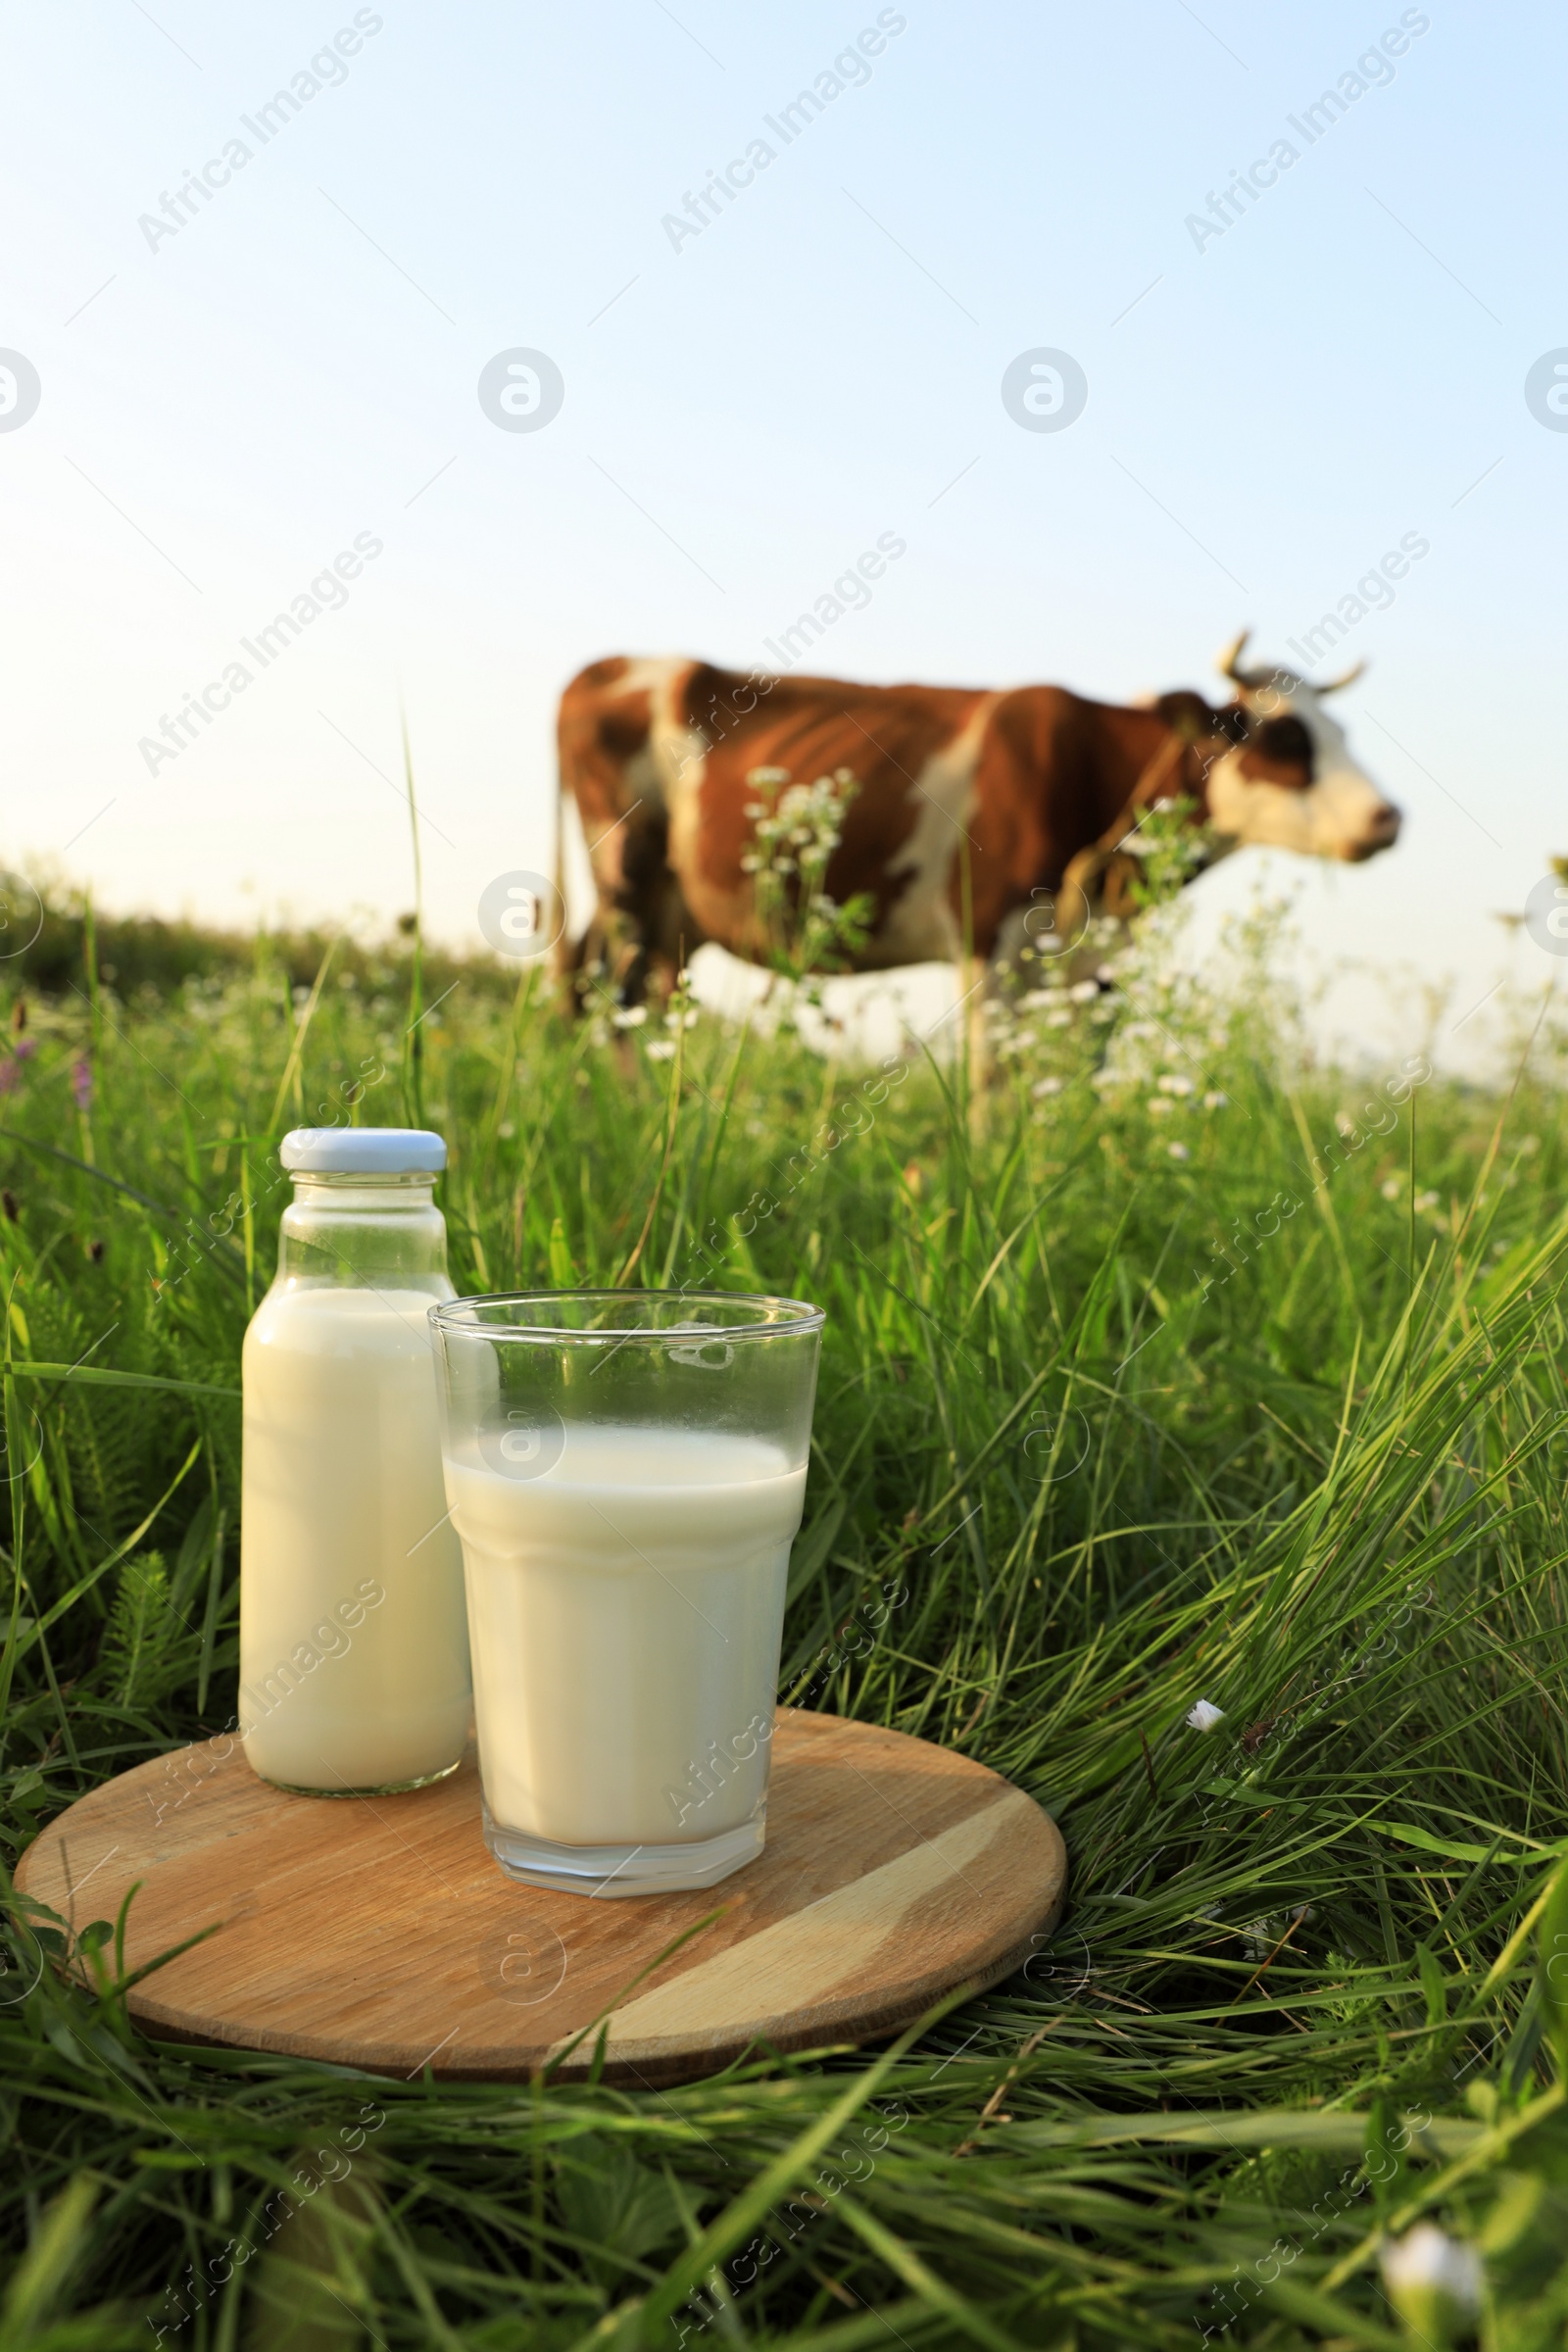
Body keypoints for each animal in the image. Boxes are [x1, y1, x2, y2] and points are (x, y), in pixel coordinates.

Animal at [557, 625, 1400, 1002]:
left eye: (1341, 733)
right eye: (1284, 740)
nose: (1388, 818)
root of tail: (605, 667)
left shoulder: (1097, 964)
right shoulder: (990, 938)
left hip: (677, 912)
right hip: (624, 874)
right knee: (598, 988)